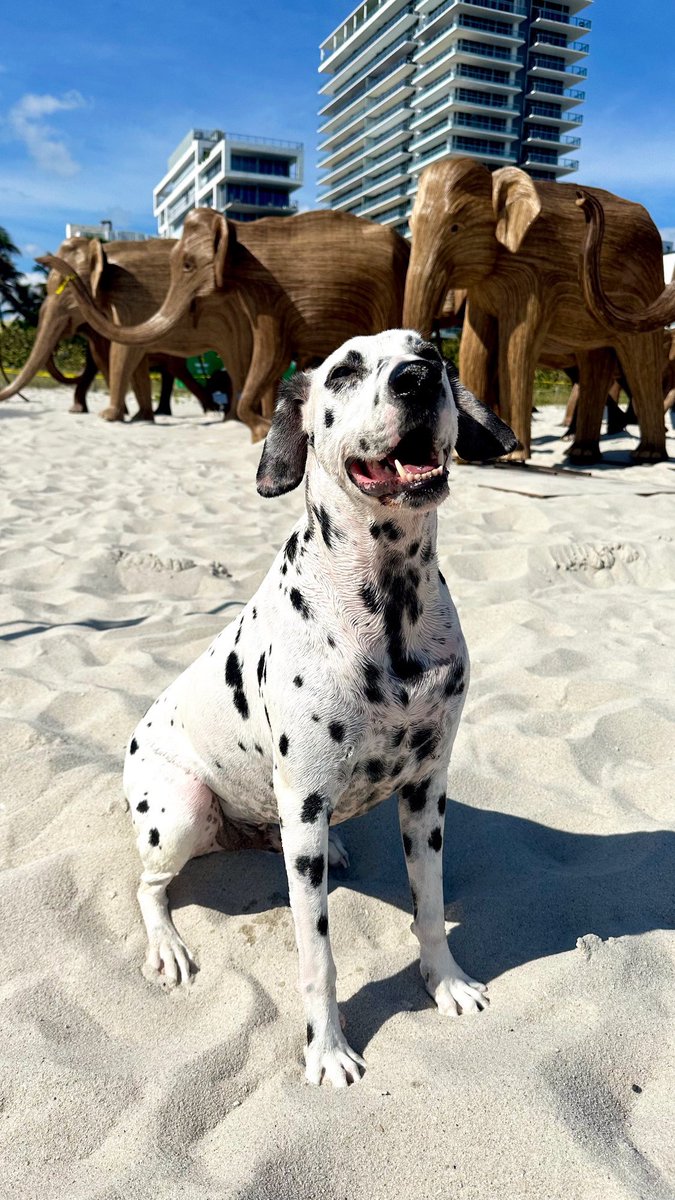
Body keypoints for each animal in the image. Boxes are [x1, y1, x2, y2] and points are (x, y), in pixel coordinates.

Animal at [41, 207, 411, 441]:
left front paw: (258, 430)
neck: (238, 228)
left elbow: (271, 355)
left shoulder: (274, 295)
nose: (41, 258)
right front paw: (261, 428)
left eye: (188, 265)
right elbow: (269, 359)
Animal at [403, 157, 667, 463]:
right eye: (410, 224)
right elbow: (474, 348)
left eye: (456, 227)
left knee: (642, 364)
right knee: (595, 366)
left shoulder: (531, 276)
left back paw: (647, 454)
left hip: (643, 289)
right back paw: (581, 452)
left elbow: (513, 350)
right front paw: (469, 457)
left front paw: (513, 457)